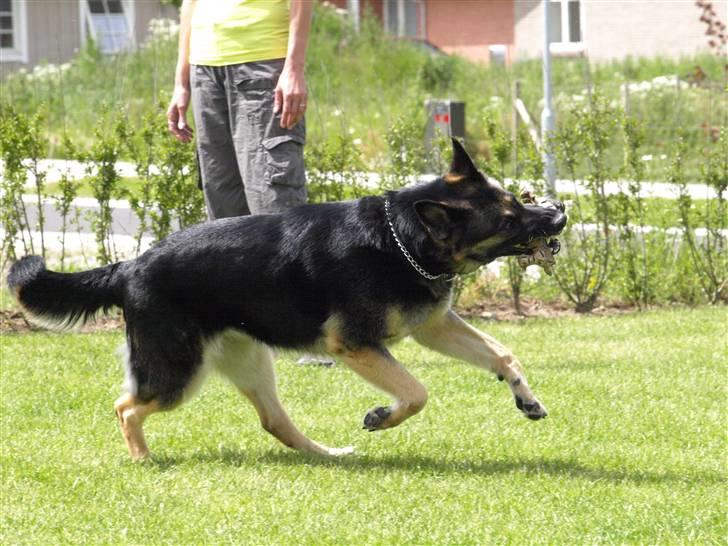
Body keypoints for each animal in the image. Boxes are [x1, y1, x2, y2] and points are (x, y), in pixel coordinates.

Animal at [8, 138, 568, 456]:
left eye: (517, 201)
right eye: (509, 219)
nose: (560, 211)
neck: (403, 241)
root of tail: (130, 266)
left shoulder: (433, 327)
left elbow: (502, 354)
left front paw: (526, 397)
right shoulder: (356, 346)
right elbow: (416, 392)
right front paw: (382, 417)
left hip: (251, 361)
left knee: (274, 420)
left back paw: (326, 454)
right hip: (177, 376)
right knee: (126, 407)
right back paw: (143, 460)